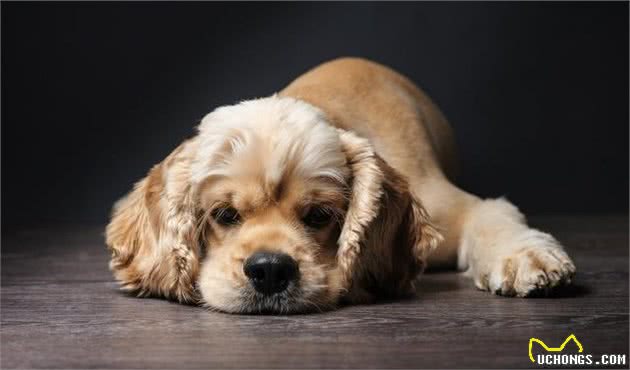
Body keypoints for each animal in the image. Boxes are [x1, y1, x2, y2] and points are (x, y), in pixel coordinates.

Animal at [107, 57, 576, 312]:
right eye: (224, 214)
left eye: (319, 216)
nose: (270, 270)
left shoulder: (451, 206)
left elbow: (493, 216)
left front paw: (528, 258)